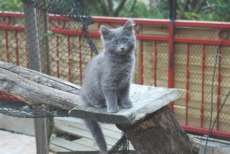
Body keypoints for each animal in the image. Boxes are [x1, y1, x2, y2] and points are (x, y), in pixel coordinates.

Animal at [80, 19, 136, 153]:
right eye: (115, 42)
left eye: (125, 40)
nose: (122, 47)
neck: (122, 62)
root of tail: (82, 96)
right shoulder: (108, 83)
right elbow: (111, 96)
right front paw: (113, 108)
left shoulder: (126, 81)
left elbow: (125, 94)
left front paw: (126, 103)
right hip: (92, 93)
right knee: (94, 101)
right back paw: (99, 104)